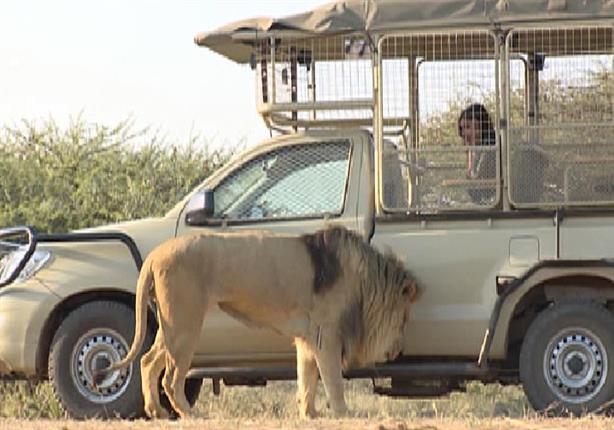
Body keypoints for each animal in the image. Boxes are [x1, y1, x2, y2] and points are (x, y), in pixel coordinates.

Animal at [96, 227, 422, 418]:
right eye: (405, 317)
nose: (398, 351)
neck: (364, 280)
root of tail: (154, 254)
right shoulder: (326, 332)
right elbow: (332, 378)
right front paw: (343, 413)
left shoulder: (307, 336)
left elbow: (307, 377)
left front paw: (309, 414)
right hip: (185, 323)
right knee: (171, 377)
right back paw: (191, 414)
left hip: (173, 325)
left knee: (148, 362)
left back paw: (157, 413)